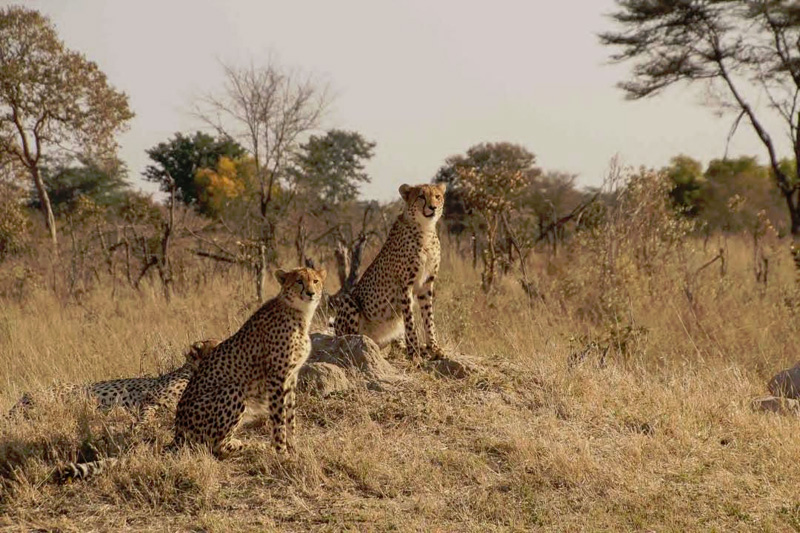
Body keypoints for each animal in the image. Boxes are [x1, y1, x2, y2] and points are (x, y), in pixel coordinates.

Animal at [332, 181, 450, 360]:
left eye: (437, 196)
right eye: (421, 196)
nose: (433, 207)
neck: (425, 230)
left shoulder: (426, 284)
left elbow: (429, 318)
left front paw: (434, 348)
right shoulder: (405, 286)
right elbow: (410, 321)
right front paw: (414, 352)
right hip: (348, 301)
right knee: (350, 337)